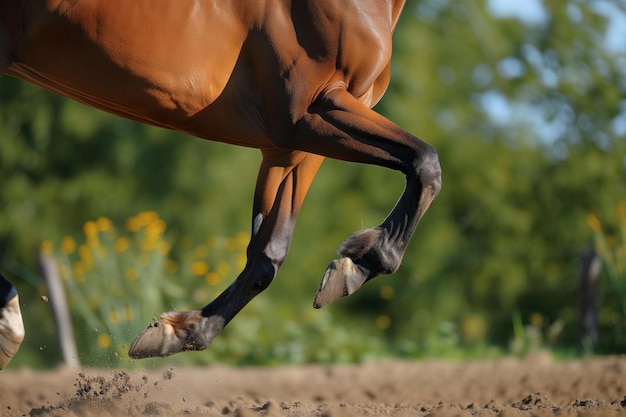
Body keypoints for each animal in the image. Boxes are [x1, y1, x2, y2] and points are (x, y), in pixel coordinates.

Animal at [0, 0, 438, 366]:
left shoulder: (291, 147)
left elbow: (268, 253)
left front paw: (183, 331)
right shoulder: (309, 113)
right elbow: (426, 164)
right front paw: (362, 261)